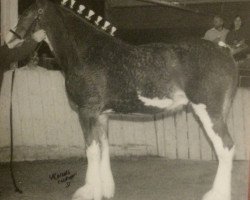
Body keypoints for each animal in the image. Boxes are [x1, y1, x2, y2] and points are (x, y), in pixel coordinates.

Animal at [6, 0, 238, 200]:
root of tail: (224, 50)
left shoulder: (86, 112)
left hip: (208, 111)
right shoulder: (101, 116)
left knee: (226, 147)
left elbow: (91, 151)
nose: (9, 40)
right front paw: (104, 190)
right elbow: (103, 148)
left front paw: (88, 191)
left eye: (24, 13)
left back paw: (217, 194)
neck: (86, 51)